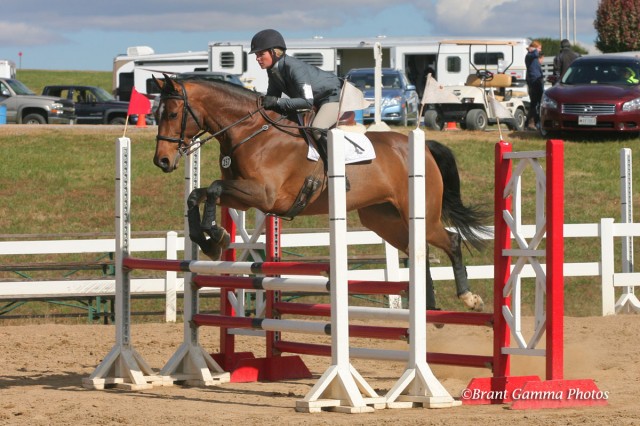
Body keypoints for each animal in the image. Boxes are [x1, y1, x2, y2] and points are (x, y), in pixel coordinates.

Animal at [154, 75, 490, 312]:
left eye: (172, 113)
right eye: (157, 113)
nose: (162, 161)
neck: (251, 132)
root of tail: (424, 146)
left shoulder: (264, 195)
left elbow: (212, 188)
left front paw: (215, 235)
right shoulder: (243, 196)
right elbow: (197, 195)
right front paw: (209, 241)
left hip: (423, 216)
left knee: (451, 240)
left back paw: (468, 298)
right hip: (381, 218)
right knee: (416, 248)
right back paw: (429, 307)